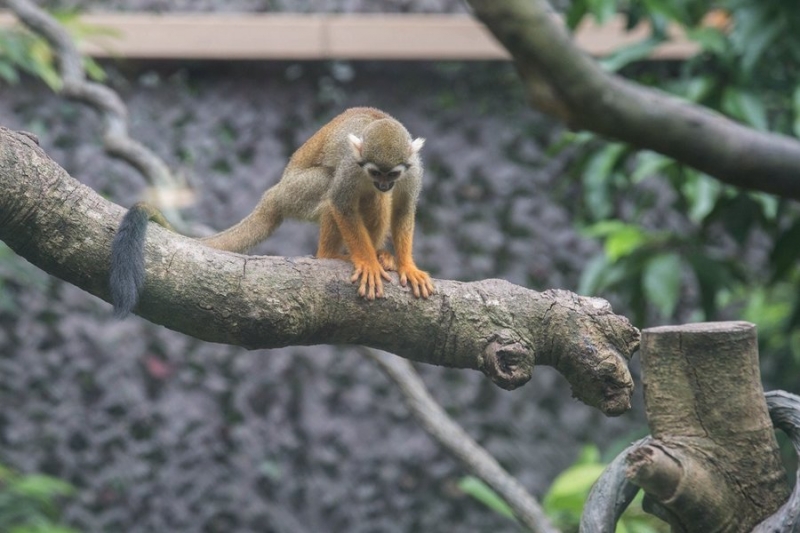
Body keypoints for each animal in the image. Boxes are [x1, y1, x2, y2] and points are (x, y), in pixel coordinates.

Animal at [109, 106, 434, 318]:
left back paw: (380, 252)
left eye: (392, 174)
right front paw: (367, 263)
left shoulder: (414, 170)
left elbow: (403, 208)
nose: (383, 184)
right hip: (296, 194)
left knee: (377, 201)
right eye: (375, 172)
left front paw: (406, 266)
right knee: (334, 191)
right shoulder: (351, 167)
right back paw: (331, 255)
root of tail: (273, 194)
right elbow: (340, 202)